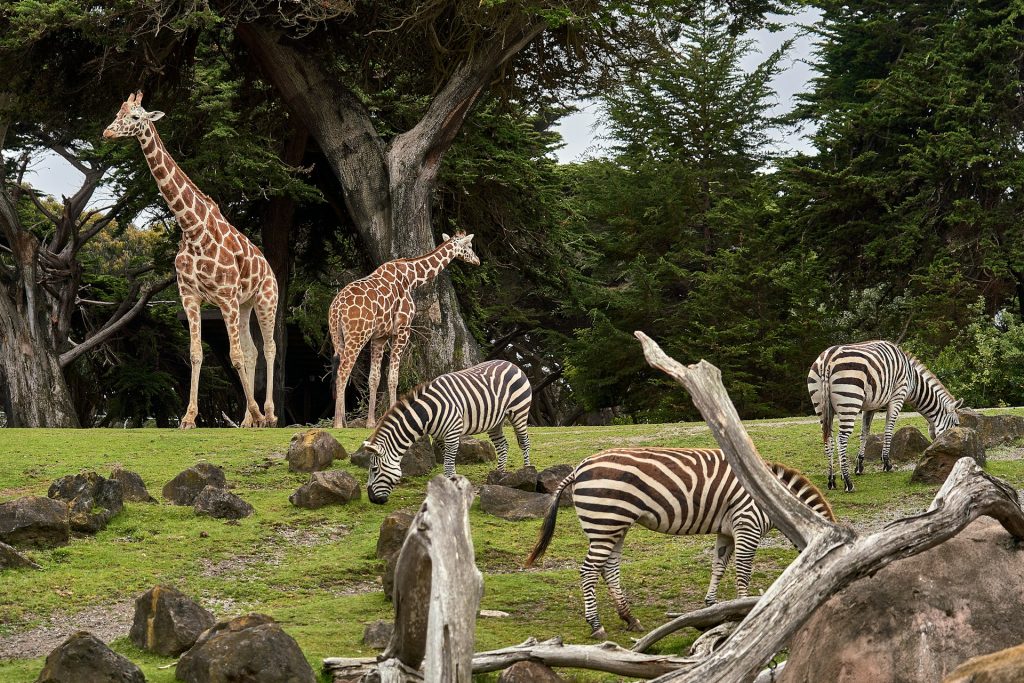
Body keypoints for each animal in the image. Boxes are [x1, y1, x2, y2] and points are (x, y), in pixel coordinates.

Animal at [103, 91, 278, 429]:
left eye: (135, 117)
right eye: (118, 112)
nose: (107, 132)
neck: (192, 227)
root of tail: (268, 267)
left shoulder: (225, 297)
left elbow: (235, 355)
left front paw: (255, 412)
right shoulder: (190, 296)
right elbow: (197, 353)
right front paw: (188, 417)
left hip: (266, 299)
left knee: (269, 347)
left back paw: (269, 414)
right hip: (245, 304)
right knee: (252, 350)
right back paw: (249, 420)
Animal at [329, 231, 480, 428]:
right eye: (469, 246)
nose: (477, 260)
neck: (412, 277)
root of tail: (337, 308)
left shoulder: (380, 337)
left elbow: (374, 378)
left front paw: (371, 422)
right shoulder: (402, 329)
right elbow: (393, 377)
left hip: (337, 337)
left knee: (339, 371)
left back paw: (342, 421)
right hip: (357, 336)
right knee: (343, 371)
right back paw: (338, 424)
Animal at [362, 359, 532, 504]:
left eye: (374, 469)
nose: (372, 499)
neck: (428, 413)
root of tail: (511, 364)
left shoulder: (452, 433)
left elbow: (448, 464)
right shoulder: (439, 437)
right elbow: (448, 461)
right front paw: (452, 483)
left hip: (519, 411)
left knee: (524, 442)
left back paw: (526, 473)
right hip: (495, 421)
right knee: (502, 445)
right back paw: (498, 476)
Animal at [524, 447, 834, 639]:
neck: (774, 499)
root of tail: (579, 467)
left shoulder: (727, 530)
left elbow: (719, 565)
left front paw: (712, 606)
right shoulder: (747, 525)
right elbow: (743, 572)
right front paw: (745, 610)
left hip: (612, 526)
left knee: (608, 569)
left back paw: (629, 618)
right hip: (606, 521)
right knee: (589, 570)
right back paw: (596, 624)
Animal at [807, 340, 962, 492]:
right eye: (956, 425)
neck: (913, 381)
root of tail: (827, 360)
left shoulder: (870, 406)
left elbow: (865, 433)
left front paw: (859, 466)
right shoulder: (897, 397)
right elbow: (888, 430)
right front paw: (887, 463)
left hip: (821, 405)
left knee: (828, 439)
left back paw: (831, 480)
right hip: (850, 401)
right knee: (841, 439)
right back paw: (848, 482)